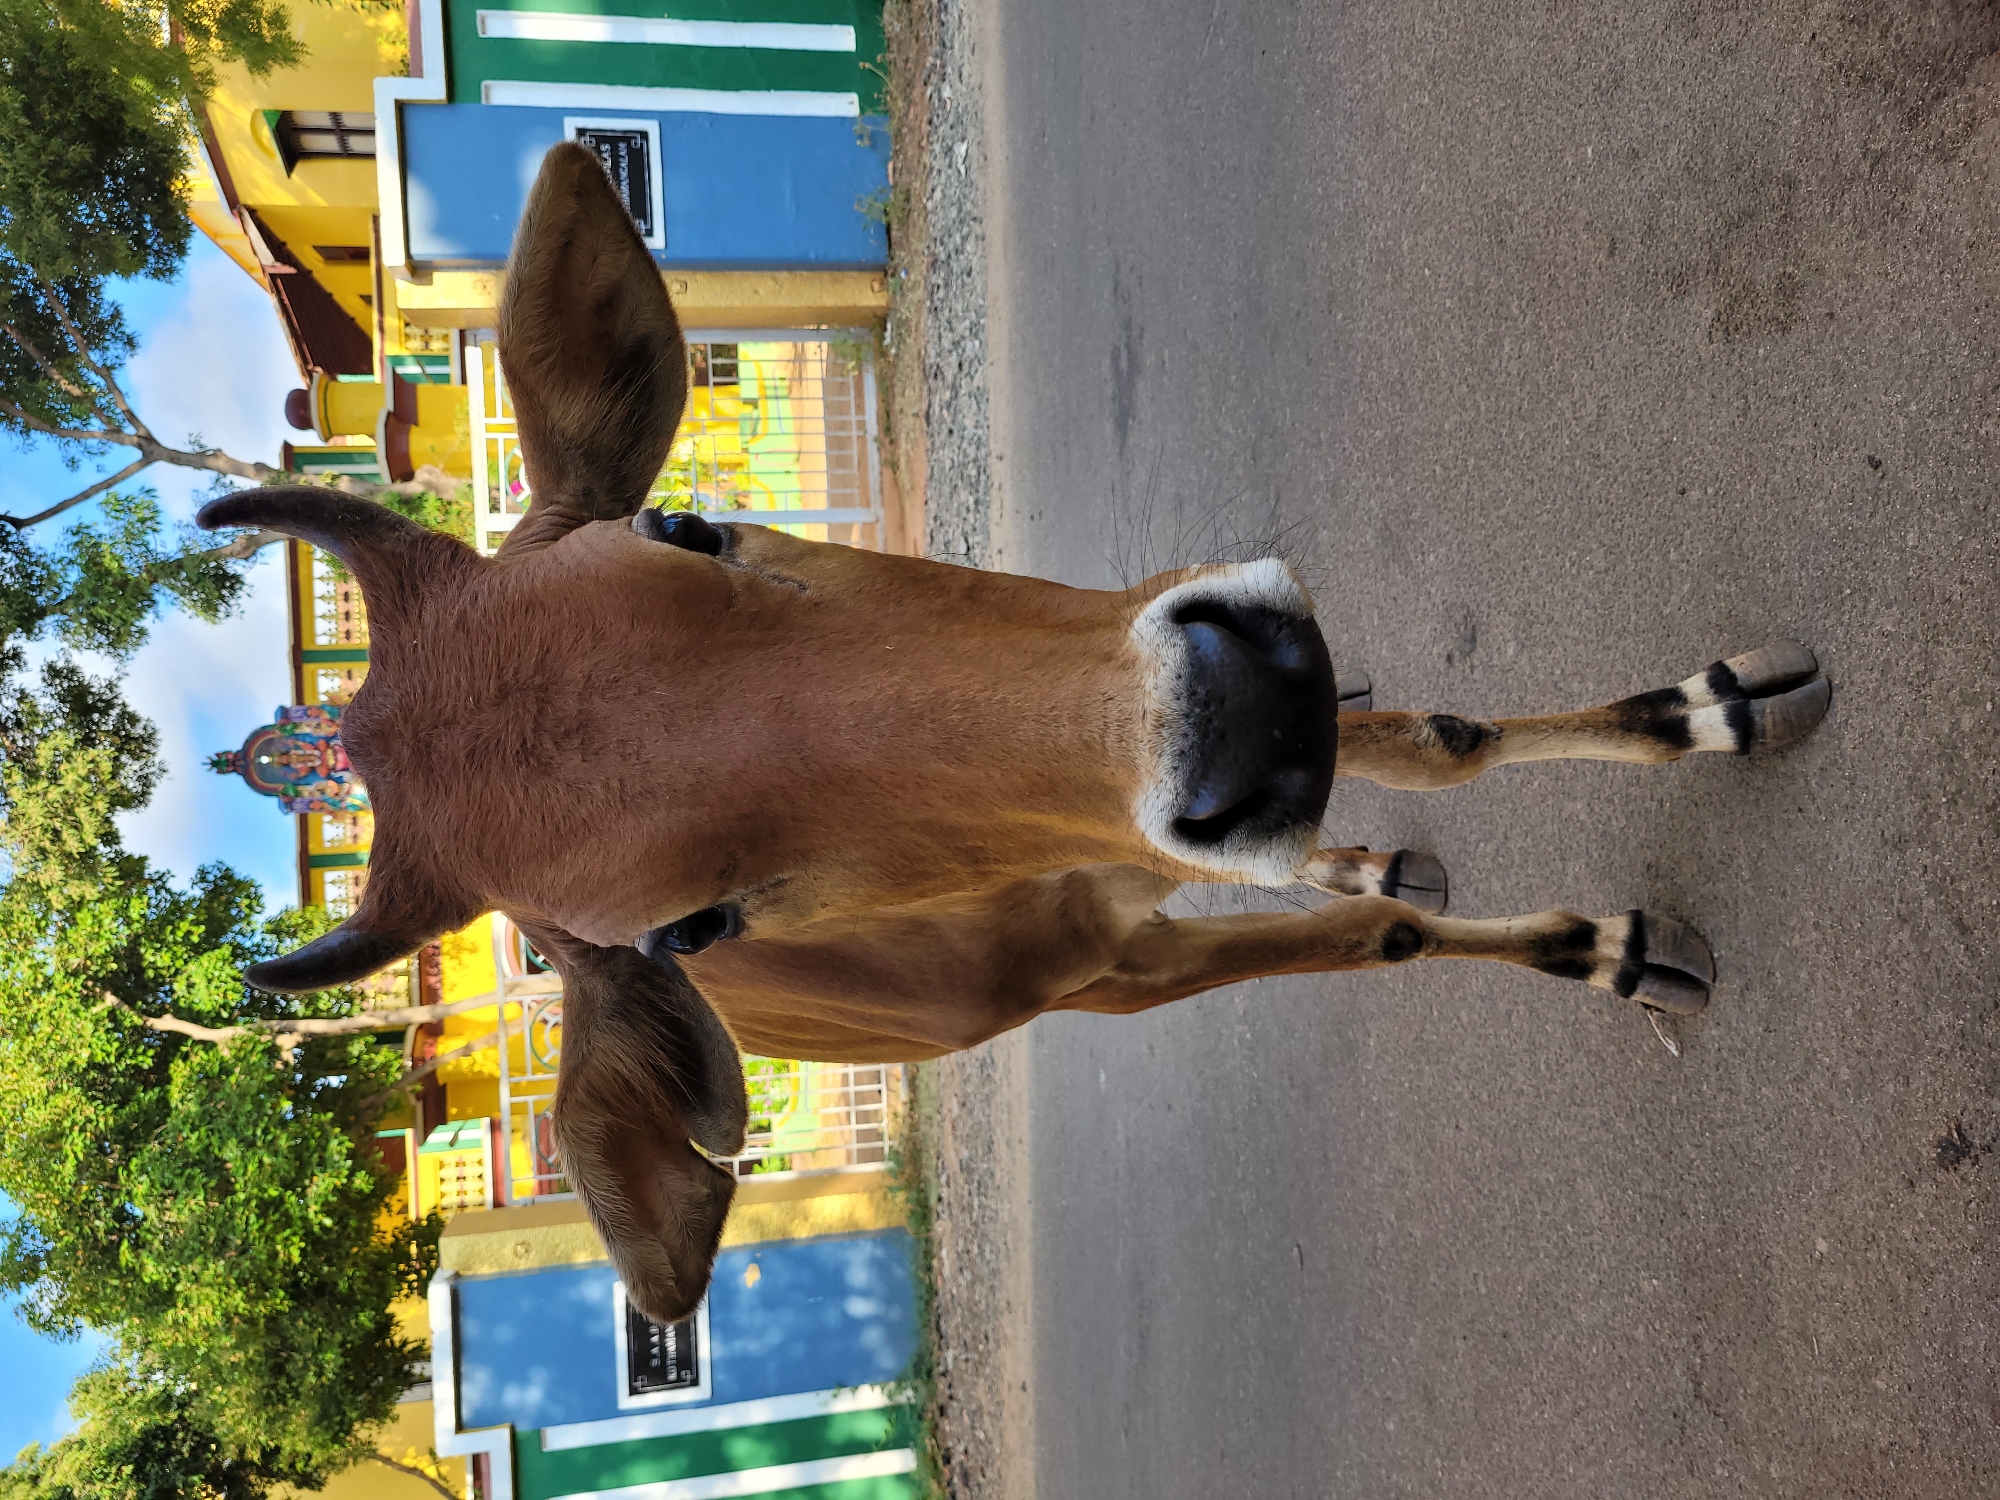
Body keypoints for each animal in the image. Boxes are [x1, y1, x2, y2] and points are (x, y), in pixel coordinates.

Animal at [197, 143, 1830, 1325]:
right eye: (690, 929)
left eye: (689, 525)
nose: (1234, 719)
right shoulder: (1124, 967)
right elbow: (1381, 940)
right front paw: (1610, 947)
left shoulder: (1140, 638)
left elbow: (1446, 733)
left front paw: (1710, 710)